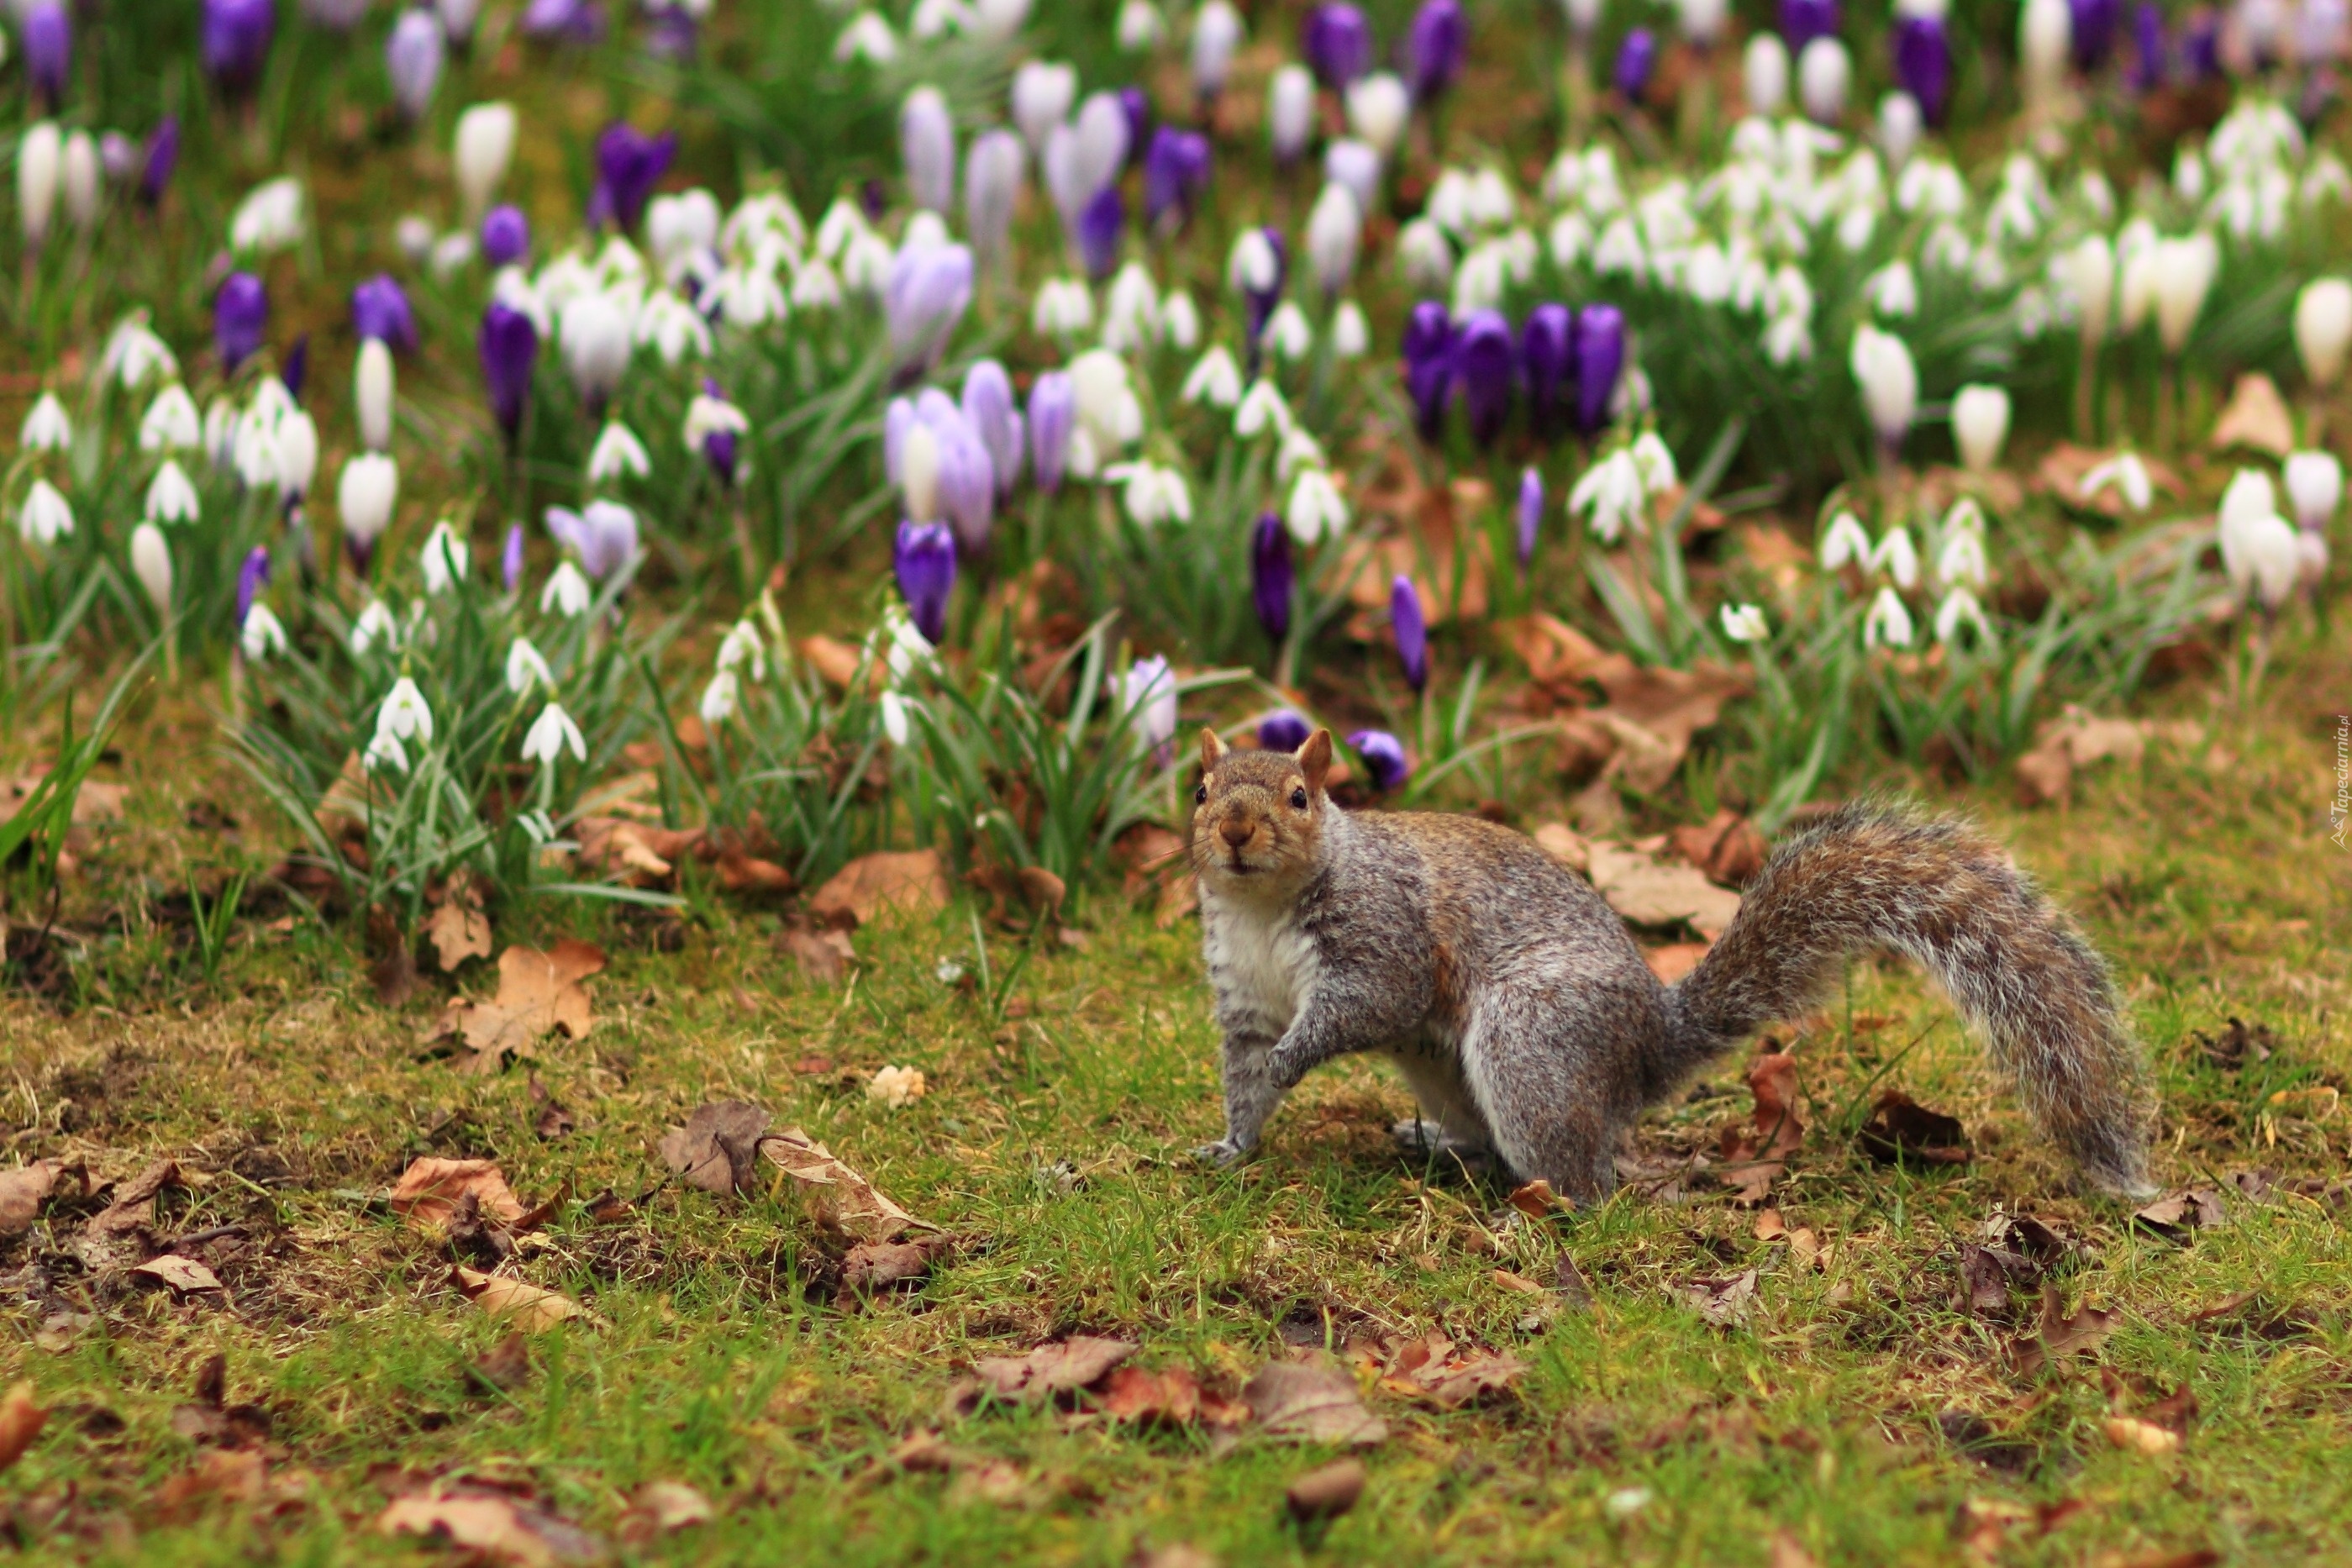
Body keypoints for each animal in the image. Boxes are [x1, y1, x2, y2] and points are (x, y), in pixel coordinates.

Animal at [1185, 729, 2154, 1203]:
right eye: (1198, 791)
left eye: (1300, 798)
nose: (1233, 830)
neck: (1265, 909)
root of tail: (1650, 1045)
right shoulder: (1241, 993)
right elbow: (1244, 1074)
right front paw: (1232, 1148)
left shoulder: (1381, 936)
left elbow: (1366, 1004)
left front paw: (1294, 1060)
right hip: (1448, 1069)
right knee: (1494, 1137)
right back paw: (1441, 1145)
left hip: (1530, 1039)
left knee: (1584, 1176)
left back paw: (1541, 1205)